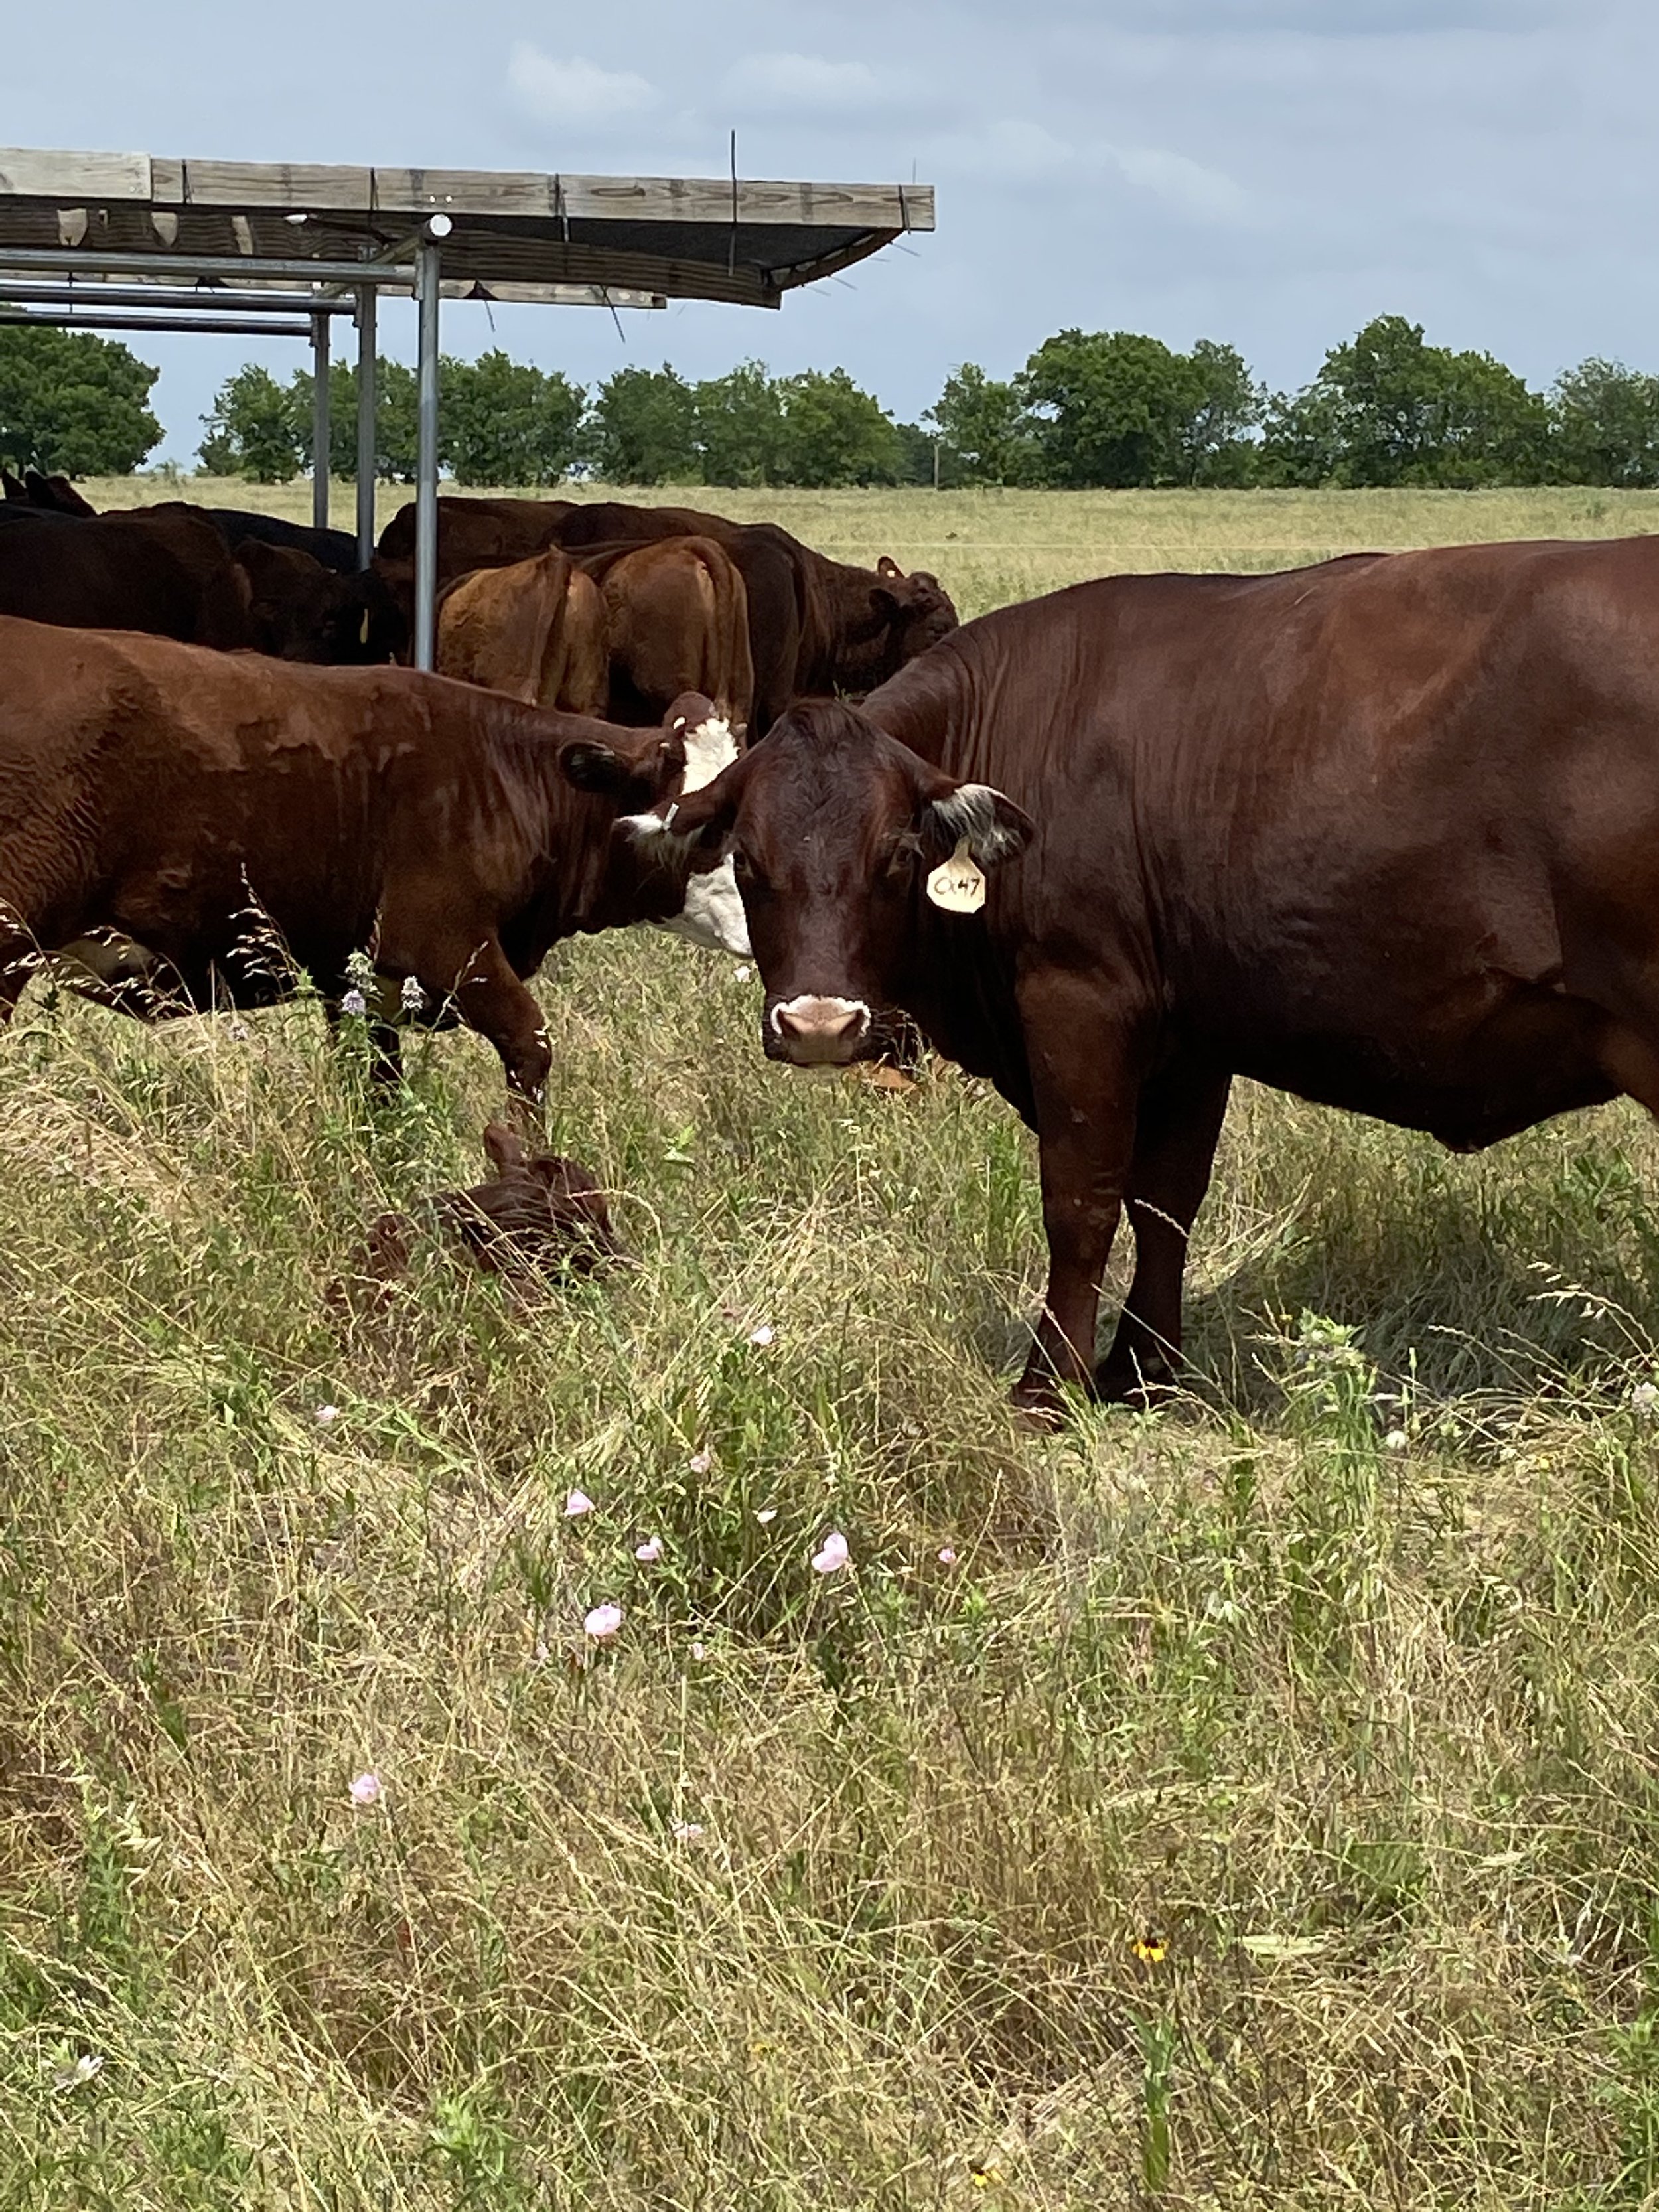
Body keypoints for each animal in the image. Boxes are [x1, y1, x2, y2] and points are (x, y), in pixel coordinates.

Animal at [0, 622, 748, 1099]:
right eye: (697, 821)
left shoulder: (361, 986)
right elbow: (531, 1049)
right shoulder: (445, 944)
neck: (503, 774)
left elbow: (378, 1098)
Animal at [616, 537, 1659, 1417]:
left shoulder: (1078, 1001)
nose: (821, 1024)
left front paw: (1050, 1385)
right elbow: (1165, 1201)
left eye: (895, 856)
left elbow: (1081, 1199)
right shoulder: (1192, 1033)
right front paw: (1143, 1369)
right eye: (749, 859)